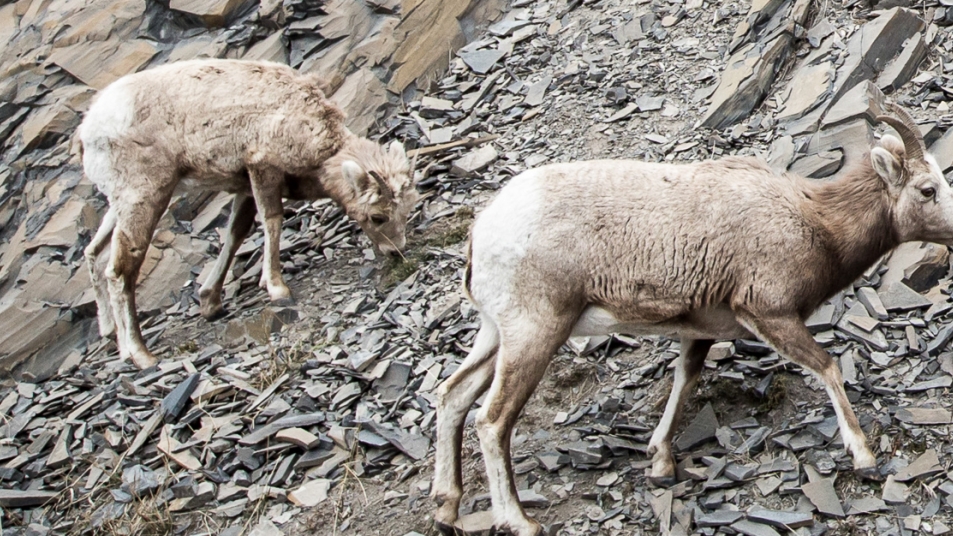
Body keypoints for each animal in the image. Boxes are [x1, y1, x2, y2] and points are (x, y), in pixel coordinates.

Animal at [83, 58, 418, 368]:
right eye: (378, 217)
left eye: (406, 212)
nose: (396, 252)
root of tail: (87, 133)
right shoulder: (262, 168)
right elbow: (272, 221)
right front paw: (277, 289)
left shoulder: (243, 186)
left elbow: (235, 234)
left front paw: (210, 302)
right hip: (144, 198)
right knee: (120, 271)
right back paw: (141, 355)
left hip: (120, 206)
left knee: (94, 253)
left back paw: (113, 337)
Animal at [432, 102, 952, 532]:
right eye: (928, 189)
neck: (815, 223)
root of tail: (481, 233)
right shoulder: (769, 313)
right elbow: (827, 368)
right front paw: (864, 457)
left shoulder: (701, 330)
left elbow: (684, 380)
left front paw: (660, 463)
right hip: (535, 334)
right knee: (492, 420)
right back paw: (520, 522)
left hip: (495, 335)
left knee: (452, 395)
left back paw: (446, 508)